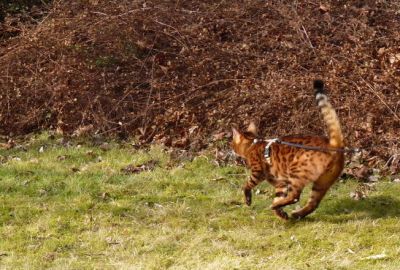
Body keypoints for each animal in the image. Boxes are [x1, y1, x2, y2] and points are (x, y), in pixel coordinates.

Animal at [231, 80, 344, 219]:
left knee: (295, 196)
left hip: (297, 172)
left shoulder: (257, 171)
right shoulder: (281, 182)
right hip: (323, 181)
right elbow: (278, 196)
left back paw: (280, 208)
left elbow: (246, 185)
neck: (254, 144)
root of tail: (332, 144)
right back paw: (296, 214)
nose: (231, 149)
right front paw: (281, 213)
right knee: (313, 203)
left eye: (232, 143)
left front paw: (248, 200)